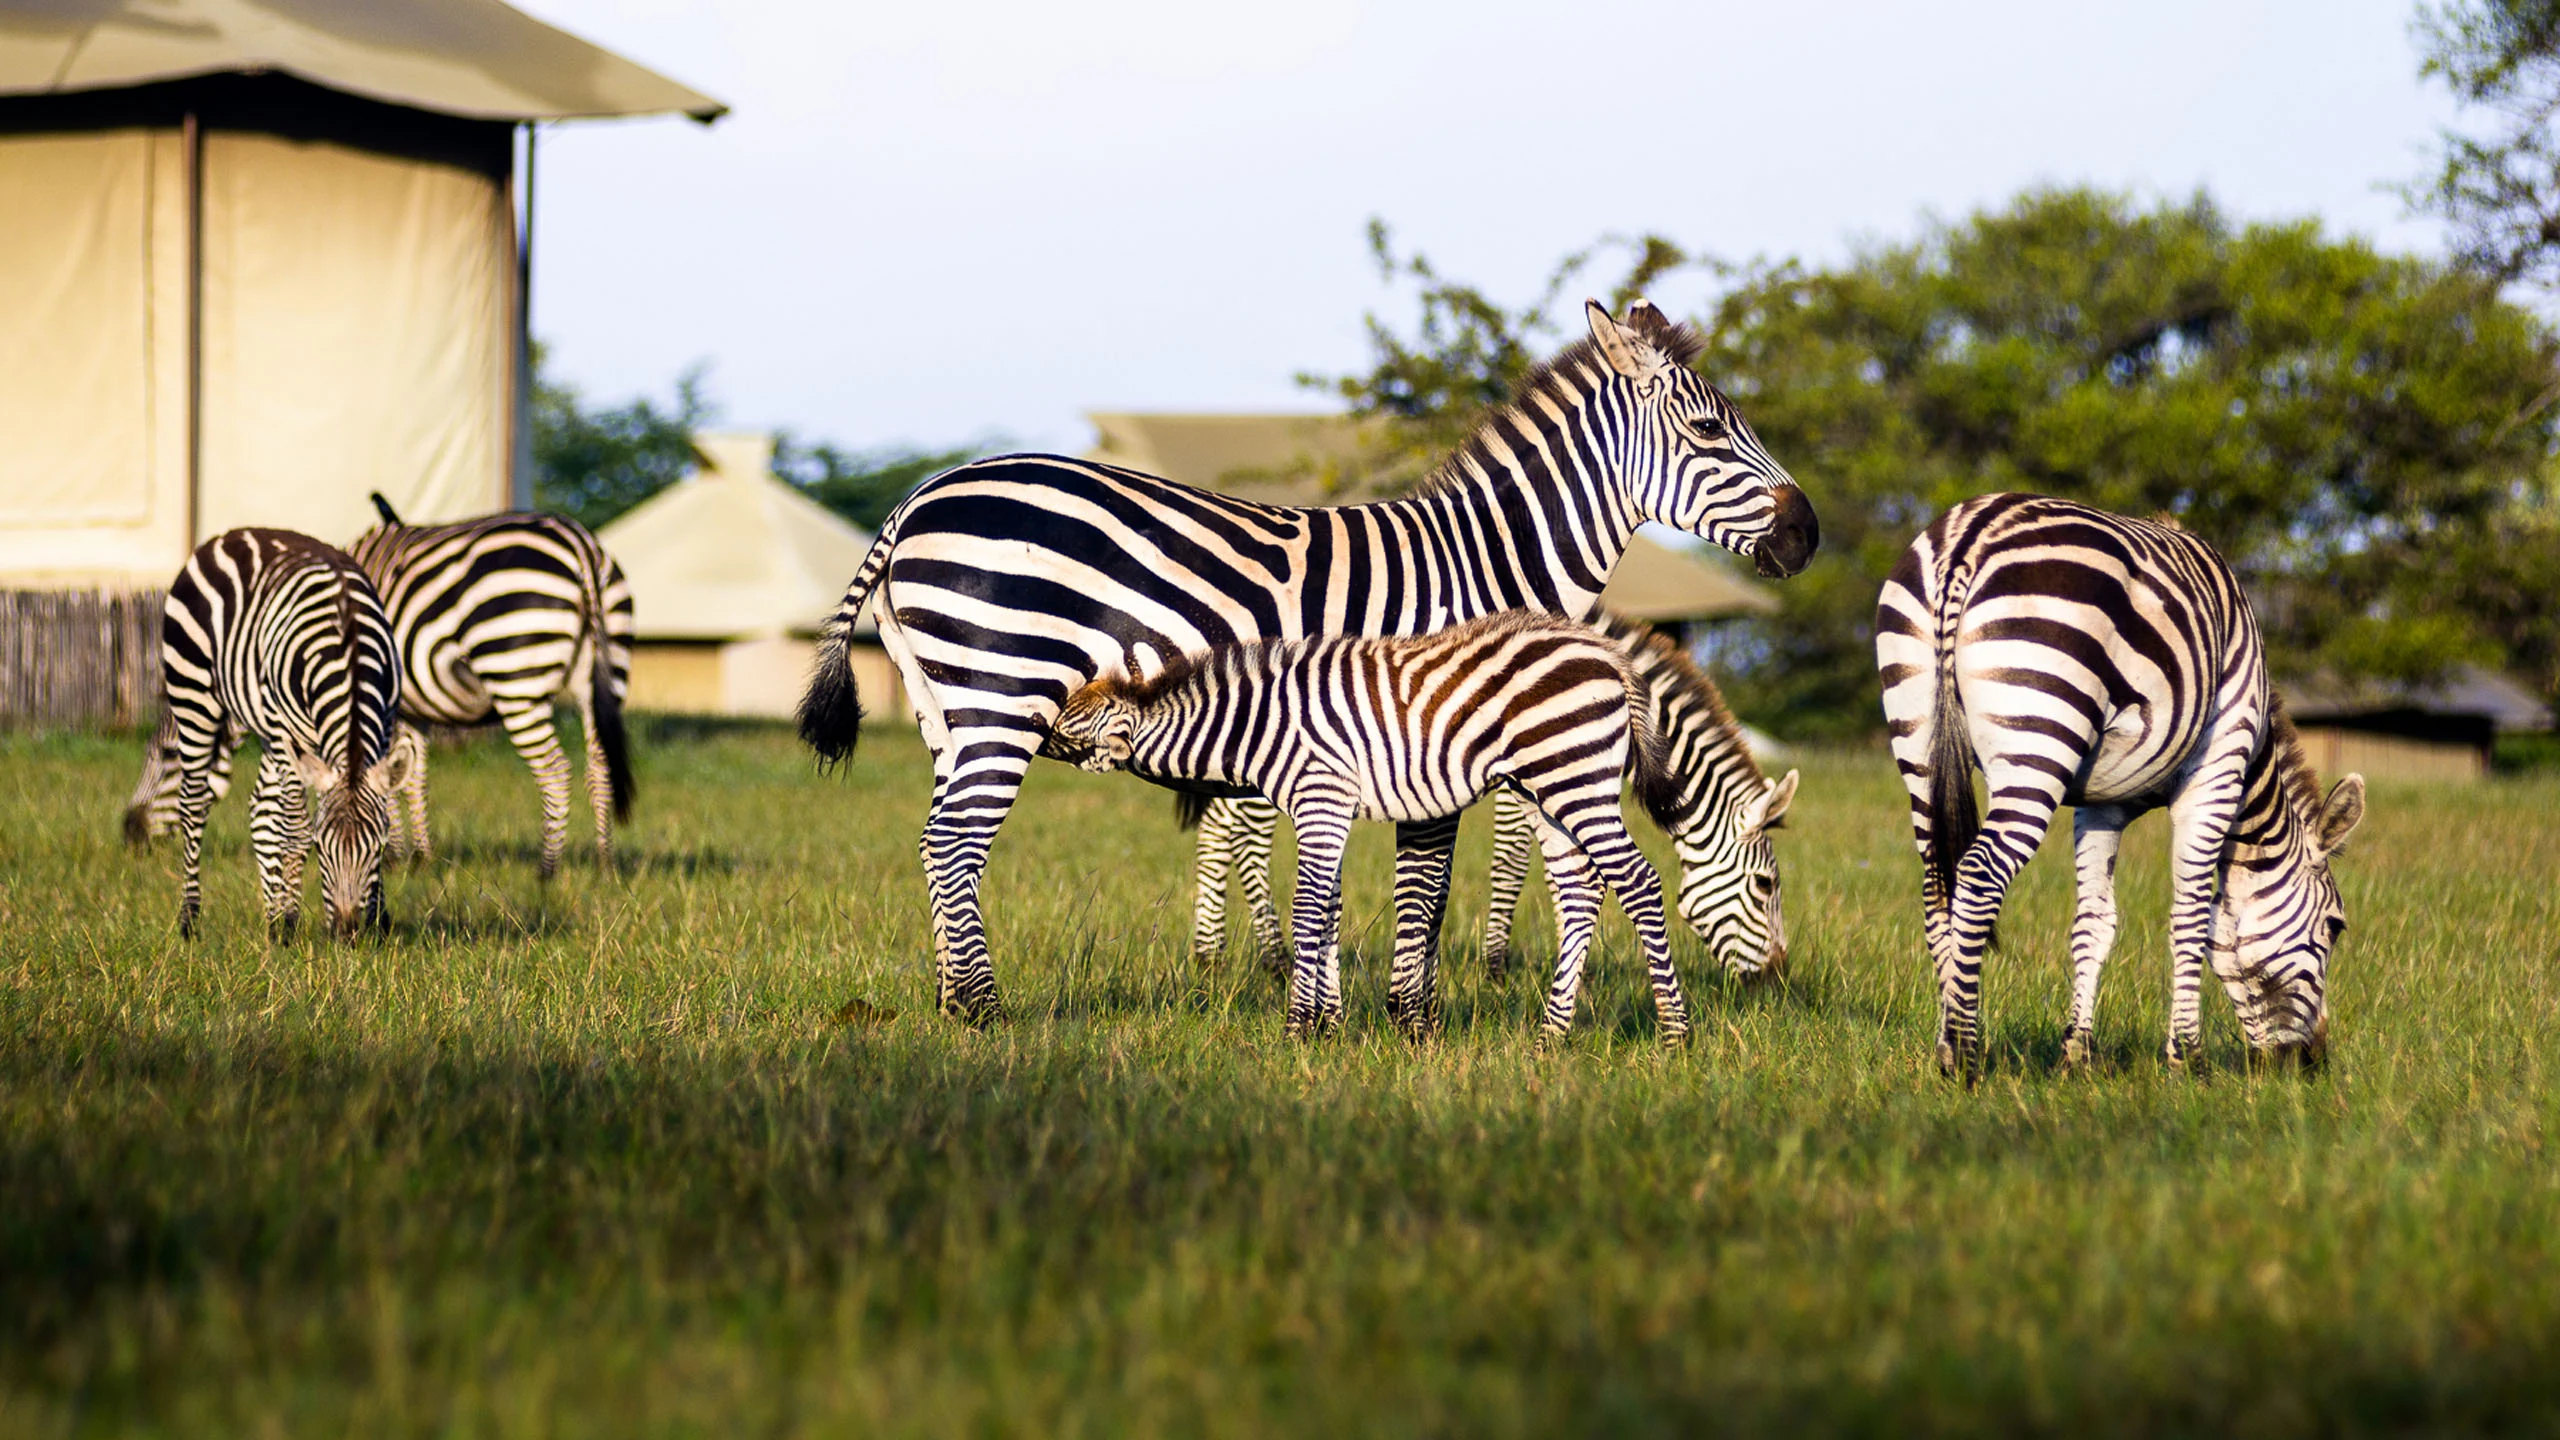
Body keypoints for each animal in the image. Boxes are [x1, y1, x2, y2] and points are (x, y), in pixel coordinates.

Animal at [126, 498, 637, 880]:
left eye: (166, 756)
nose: (129, 833)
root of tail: (580, 545)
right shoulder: (403, 709)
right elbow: (411, 778)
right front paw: (418, 856)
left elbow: (388, 780)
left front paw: (390, 856)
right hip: (604, 675)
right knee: (599, 764)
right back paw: (603, 861)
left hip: (515, 675)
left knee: (554, 770)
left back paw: (548, 870)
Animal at [159, 528, 402, 939]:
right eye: (322, 850)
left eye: (378, 850)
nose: (348, 934)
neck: (349, 643)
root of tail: (231, 535)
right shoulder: (289, 732)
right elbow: (296, 828)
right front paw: (289, 919)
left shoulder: (384, 726)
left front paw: (379, 918)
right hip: (195, 695)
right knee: (193, 805)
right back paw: (191, 919)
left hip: (267, 731)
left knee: (261, 808)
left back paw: (270, 917)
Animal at [1052, 612, 1691, 1042]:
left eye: (1062, 726)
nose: (1033, 718)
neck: (1256, 726)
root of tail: (1607, 652)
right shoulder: (1324, 810)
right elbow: (1329, 910)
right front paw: (1328, 1027)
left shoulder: (1321, 795)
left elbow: (1308, 911)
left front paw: (1296, 1029)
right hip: (1546, 790)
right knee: (1580, 892)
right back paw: (1550, 1037)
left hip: (1576, 777)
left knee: (1637, 881)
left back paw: (1674, 1033)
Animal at [1183, 611, 1798, 986]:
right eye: (1765, 886)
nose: (1777, 979)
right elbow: (1514, 857)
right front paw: (1497, 965)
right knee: (1239, 833)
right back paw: (1253, 956)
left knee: (1222, 830)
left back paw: (1219, 954)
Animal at [1872, 493, 2366, 1080]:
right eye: (2335, 927)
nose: (2310, 1063)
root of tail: (1971, 535)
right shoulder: (2216, 771)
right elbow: (2192, 916)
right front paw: (2187, 1057)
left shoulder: (2100, 806)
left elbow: (2095, 921)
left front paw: (2077, 1053)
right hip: (2039, 737)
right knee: (1979, 873)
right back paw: (1963, 1053)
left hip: (1918, 735)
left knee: (1936, 883)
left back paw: (1945, 1037)